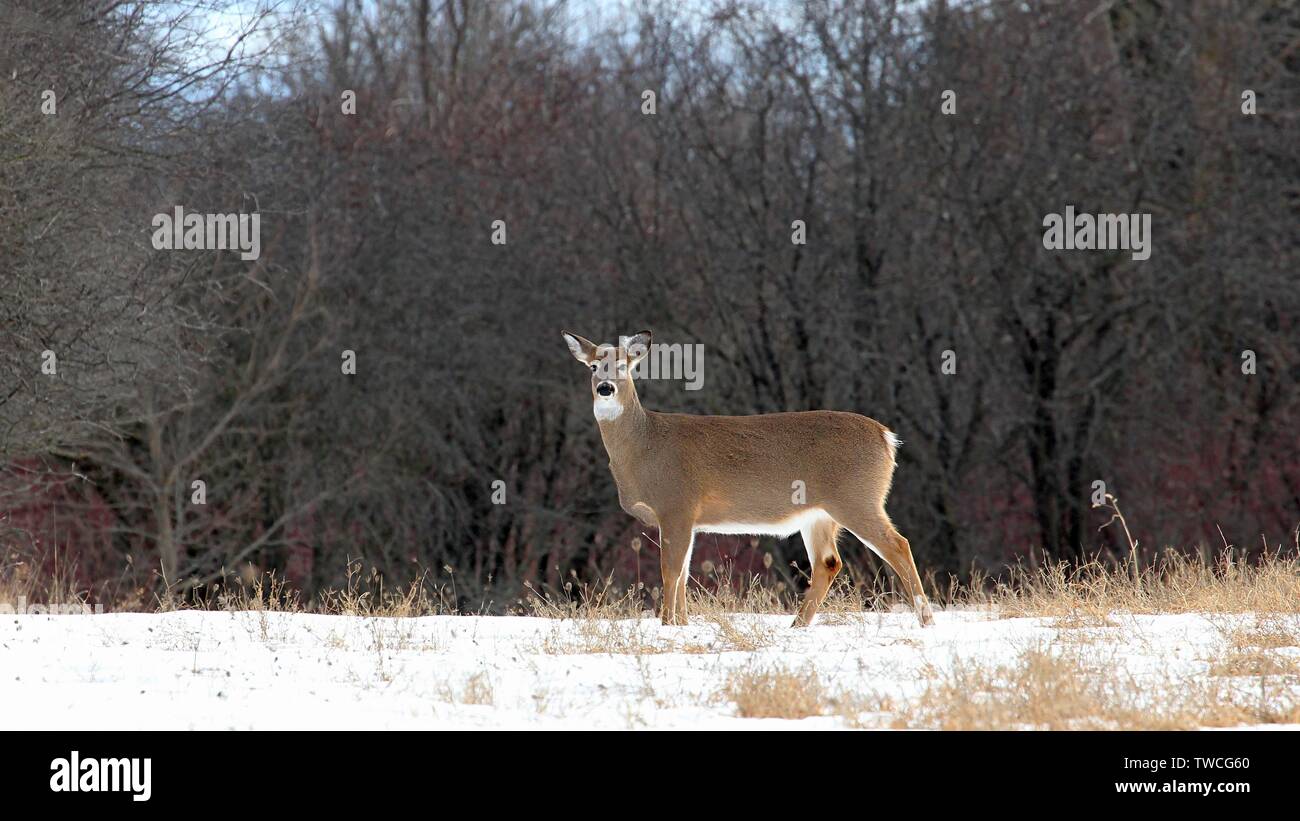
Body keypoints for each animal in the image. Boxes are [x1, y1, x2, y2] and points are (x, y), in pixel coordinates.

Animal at [561, 329, 935, 626]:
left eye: (624, 366)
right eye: (593, 366)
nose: (605, 388)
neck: (644, 447)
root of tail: (887, 438)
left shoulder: (676, 505)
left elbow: (670, 571)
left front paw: (667, 624)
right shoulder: (690, 518)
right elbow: (683, 573)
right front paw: (682, 624)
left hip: (857, 498)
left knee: (898, 545)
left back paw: (926, 619)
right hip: (819, 513)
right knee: (829, 562)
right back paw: (797, 626)